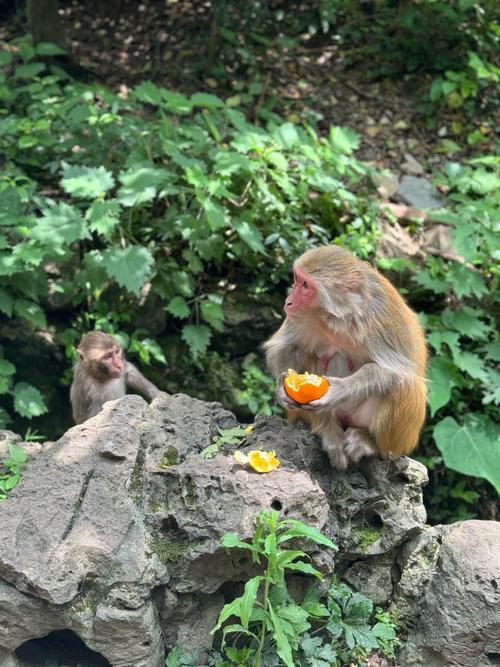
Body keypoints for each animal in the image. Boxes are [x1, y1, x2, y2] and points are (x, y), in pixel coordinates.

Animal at [264, 245, 428, 470]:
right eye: (297, 279)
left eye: (305, 285)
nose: (288, 302)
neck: (339, 317)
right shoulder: (299, 317)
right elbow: (284, 348)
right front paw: (282, 384)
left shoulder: (378, 322)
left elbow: (395, 372)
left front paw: (339, 390)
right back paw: (327, 429)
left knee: (405, 386)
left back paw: (370, 441)